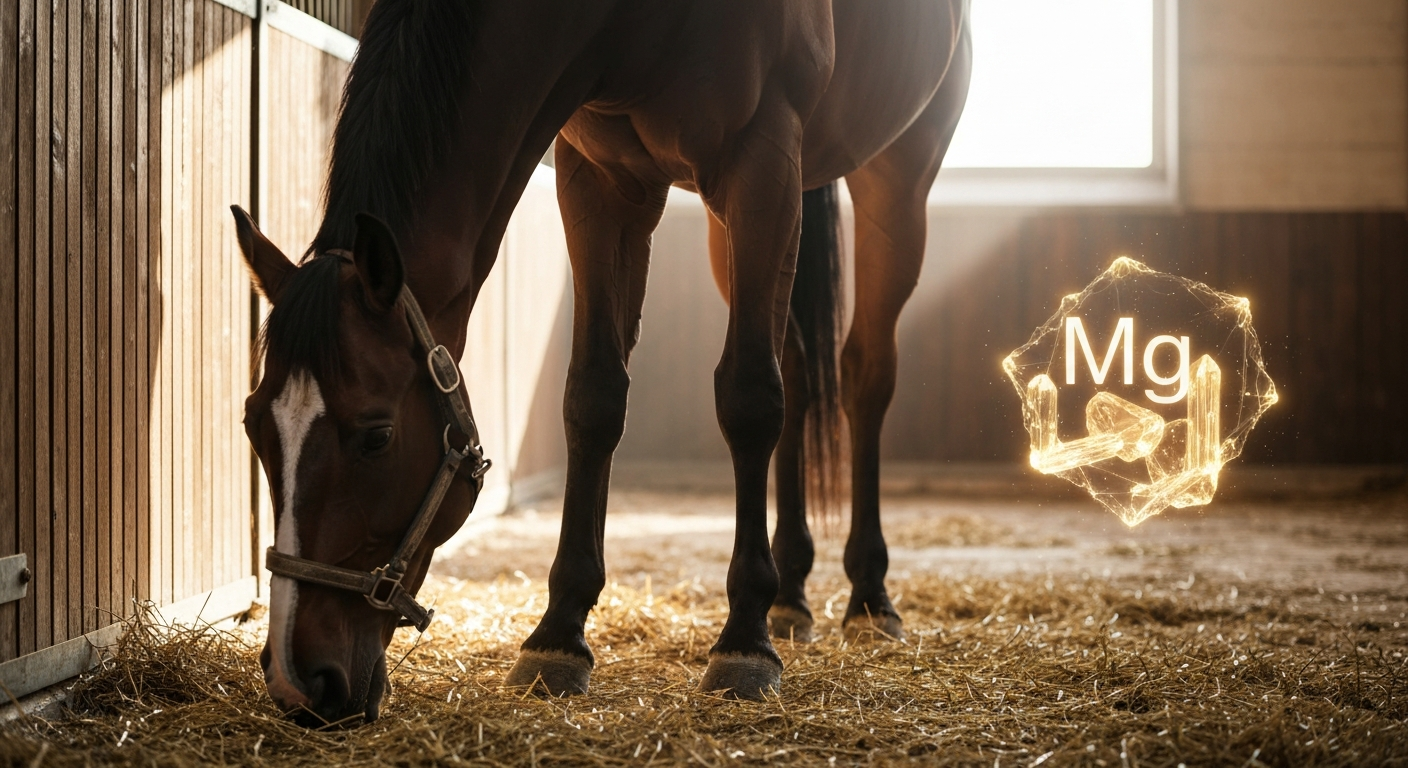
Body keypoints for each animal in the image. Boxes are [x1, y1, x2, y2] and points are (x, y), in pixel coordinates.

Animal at [232, 0, 970, 724]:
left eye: (377, 435)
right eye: (254, 426)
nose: (299, 682)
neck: (627, 22)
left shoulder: (760, 163)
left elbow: (750, 399)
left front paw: (743, 642)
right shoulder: (602, 182)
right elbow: (594, 397)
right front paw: (558, 636)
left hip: (891, 180)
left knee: (862, 376)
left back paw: (868, 597)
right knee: (793, 364)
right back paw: (790, 595)